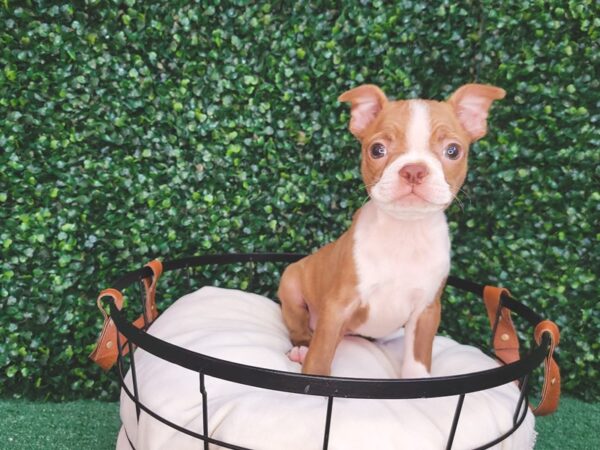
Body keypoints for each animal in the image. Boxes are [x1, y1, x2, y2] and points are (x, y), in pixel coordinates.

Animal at [278, 83, 504, 376]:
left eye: (453, 151)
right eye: (377, 150)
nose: (414, 170)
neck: (405, 232)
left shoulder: (426, 311)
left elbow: (418, 356)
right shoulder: (338, 306)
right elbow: (321, 354)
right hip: (291, 285)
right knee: (301, 326)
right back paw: (301, 348)